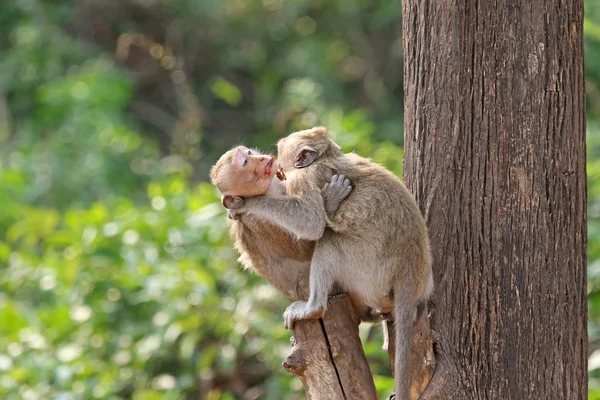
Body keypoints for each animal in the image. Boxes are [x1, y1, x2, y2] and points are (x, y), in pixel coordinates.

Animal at [223, 126, 434, 398]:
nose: (272, 161)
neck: (324, 158)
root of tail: (408, 269)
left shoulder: (302, 179)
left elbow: (310, 224)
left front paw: (250, 203)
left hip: (368, 268)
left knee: (329, 242)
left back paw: (314, 308)